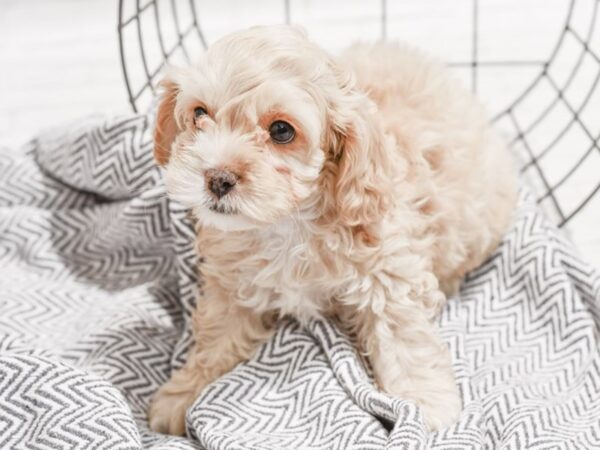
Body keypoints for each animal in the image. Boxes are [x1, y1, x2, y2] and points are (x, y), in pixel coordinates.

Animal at [149, 25, 516, 436]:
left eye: (281, 130)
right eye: (199, 114)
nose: (217, 177)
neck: (287, 224)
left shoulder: (389, 271)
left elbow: (404, 337)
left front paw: (426, 402)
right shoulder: (232, 284)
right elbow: (216, 337)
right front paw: (184, 392)